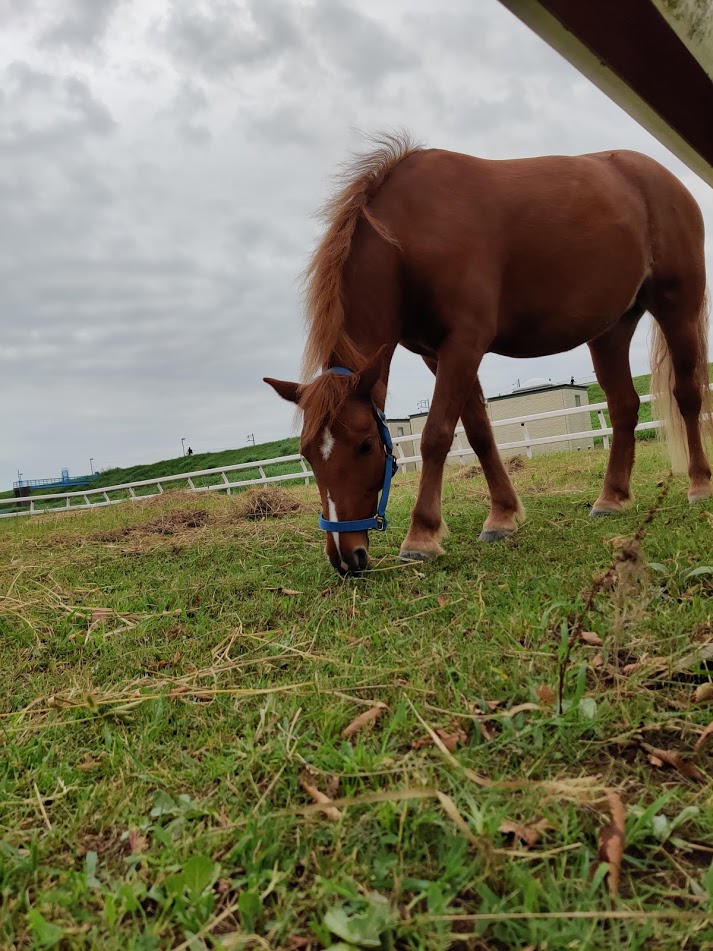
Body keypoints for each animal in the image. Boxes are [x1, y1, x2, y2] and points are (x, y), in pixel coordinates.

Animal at [265, 133, 712, 575]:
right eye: (307, 454)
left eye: (365, 446)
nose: (345, 556)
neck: (410, 234)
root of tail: (660, 177)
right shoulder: (438, 354)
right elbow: (479, 433)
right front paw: (502, 516)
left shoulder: (465, 344)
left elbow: (437, 434)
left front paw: (421, 535)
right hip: (611, 331)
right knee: (623, 407)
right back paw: (612, 497)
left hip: (677, 308)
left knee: (687, 395)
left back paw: (699, 483)